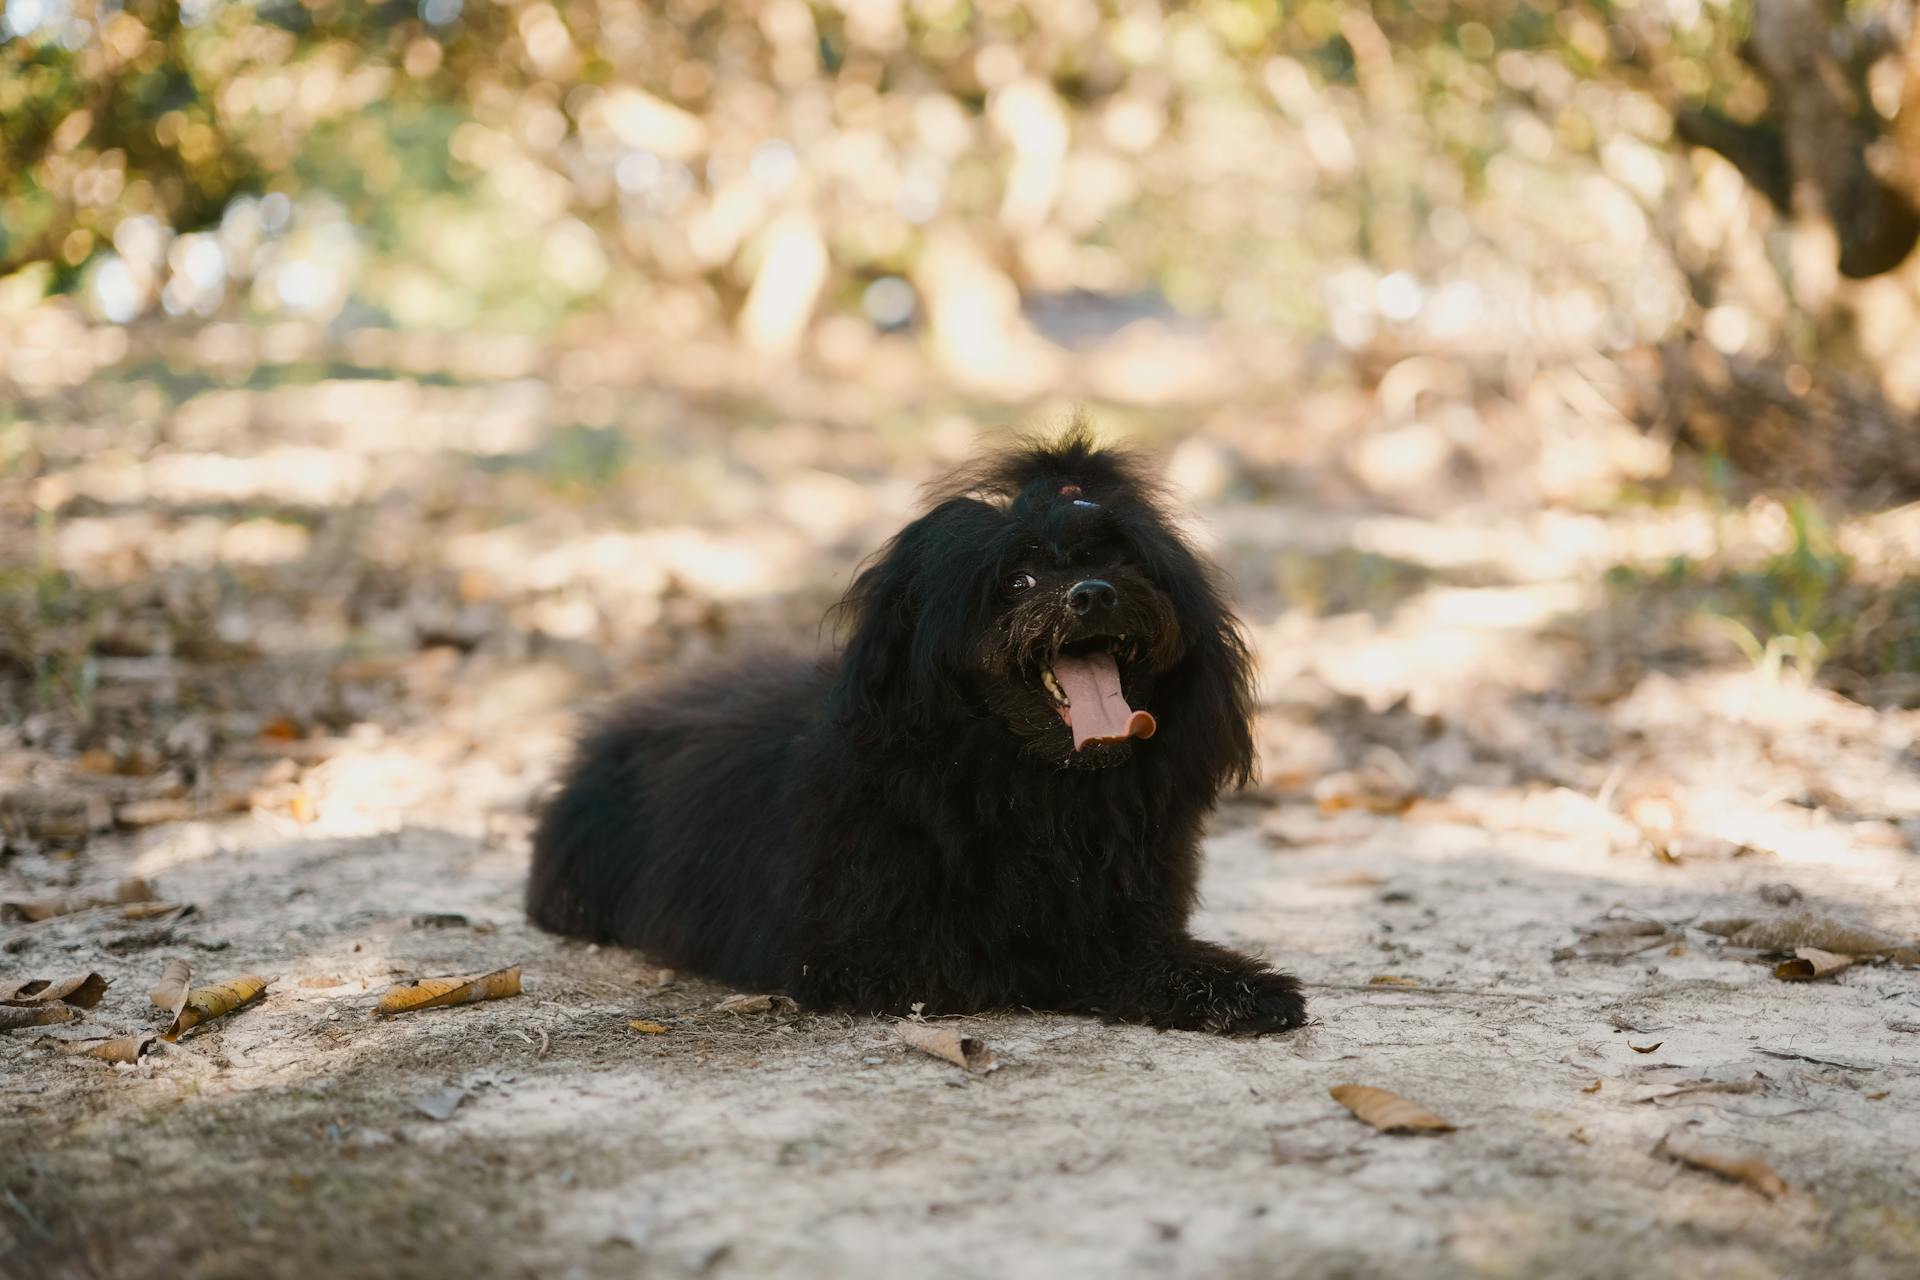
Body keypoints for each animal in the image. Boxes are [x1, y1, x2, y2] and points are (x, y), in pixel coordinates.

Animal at [529, 426, 1305, 1036]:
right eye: (1016, 582)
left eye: (1119, 559)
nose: (1093, 594)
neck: (1027, 786)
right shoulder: (886, 953)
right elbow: (1072, 953)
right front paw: (1229, 984)